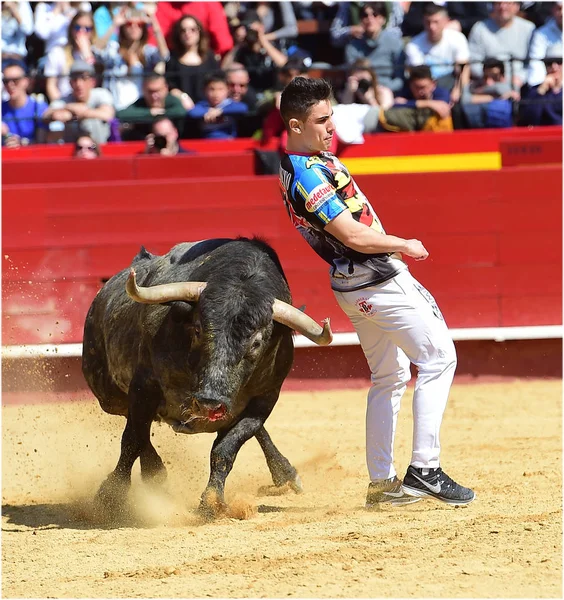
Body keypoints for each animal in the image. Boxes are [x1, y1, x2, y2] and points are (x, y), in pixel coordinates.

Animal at [81, 237, 332, 516]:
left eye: (256, 343)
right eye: (198, 329)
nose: (209, 403)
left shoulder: (265, 399)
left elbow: (226, 449)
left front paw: (212, 501)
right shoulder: (143, 386)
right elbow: (133, 438)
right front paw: (110, 496)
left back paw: (286, 475)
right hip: (108, 396)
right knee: (134, 424)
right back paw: (155, 474)